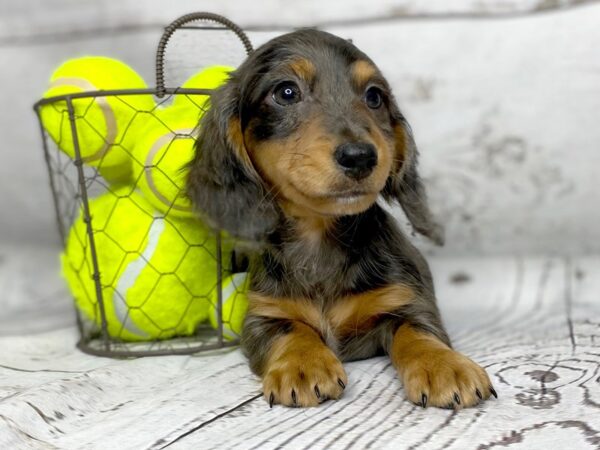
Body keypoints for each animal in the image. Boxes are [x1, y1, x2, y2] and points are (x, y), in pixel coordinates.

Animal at [189, 27, 496, 408]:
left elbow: (417, 331)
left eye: (374, 96)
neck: (318, 242)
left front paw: (443, 365)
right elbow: (291, 330)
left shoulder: (407, 301)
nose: (360, 156)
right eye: (286, 92)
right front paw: (303, 364)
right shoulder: (265, 315)